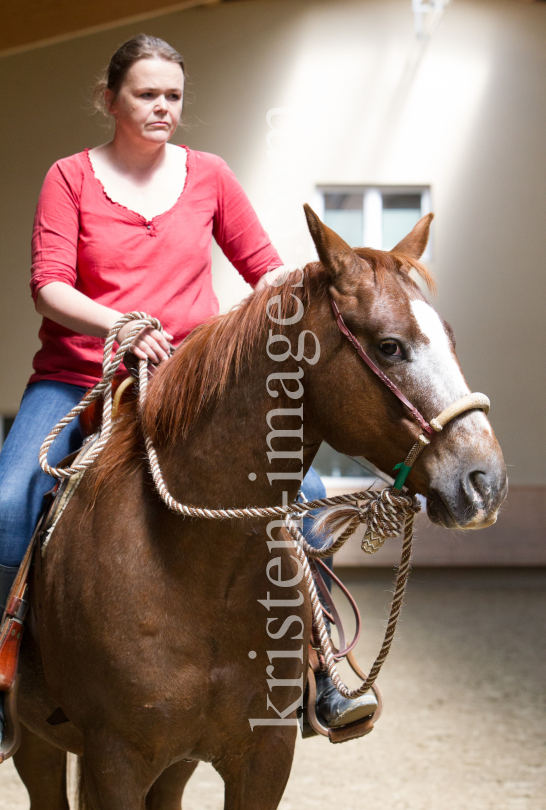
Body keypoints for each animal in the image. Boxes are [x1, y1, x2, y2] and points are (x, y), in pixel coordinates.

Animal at [10, 208, 504, 808]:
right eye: (390, 346)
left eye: (449, 339)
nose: (485, 480)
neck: (198, 571)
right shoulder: (115, 762)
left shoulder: (264, 757)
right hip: (39, 742)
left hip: (174, 765)